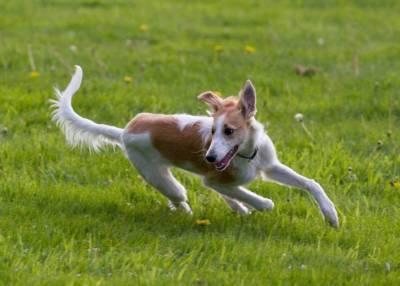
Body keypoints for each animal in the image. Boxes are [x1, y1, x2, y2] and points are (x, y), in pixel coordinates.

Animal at [49, 66, 338, 228]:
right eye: (212, 131)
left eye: (229, 131)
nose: (209, 158)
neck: (247, 155)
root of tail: (125, 131)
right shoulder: (213, 180)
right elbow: (258, 199)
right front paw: (257, 204)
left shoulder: (269, 166)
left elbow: (311, 183)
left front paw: (331, 216)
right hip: (158, 176)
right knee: (179, 198)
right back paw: (193, 213)